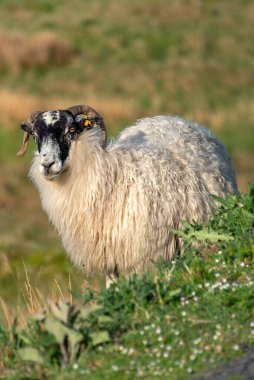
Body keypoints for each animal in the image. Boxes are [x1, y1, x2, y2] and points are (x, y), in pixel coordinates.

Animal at [17, 104, 238, 284]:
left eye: (70, 130)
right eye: (35, 135)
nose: (47, 165)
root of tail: (180, 120)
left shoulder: (146, 254)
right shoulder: (110, 254)